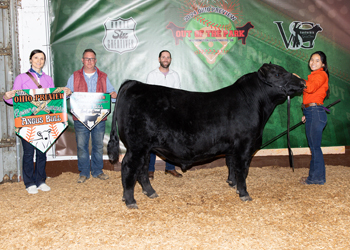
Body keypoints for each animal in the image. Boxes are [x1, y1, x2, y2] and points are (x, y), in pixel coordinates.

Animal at [108, 63, 304, 208]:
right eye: (278, 74)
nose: (302, 82)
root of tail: (134, 84)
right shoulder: (245, 146)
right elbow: (242, 170)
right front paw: (244, 193)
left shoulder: (233, 148)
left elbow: (231, 166)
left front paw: (232, 184)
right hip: (136, 146)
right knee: (128, 167)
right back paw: (130, 200)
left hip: (145, 147)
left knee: (141, 169)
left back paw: (150, 192)